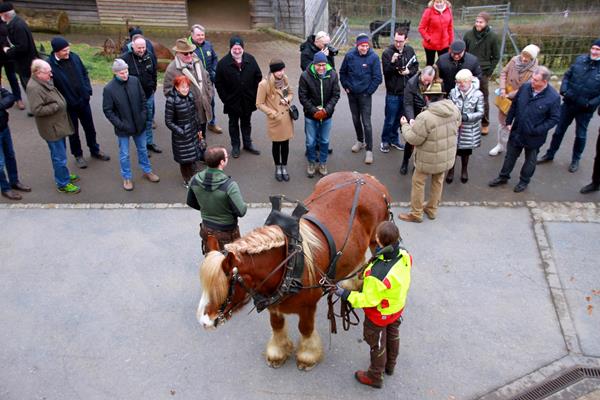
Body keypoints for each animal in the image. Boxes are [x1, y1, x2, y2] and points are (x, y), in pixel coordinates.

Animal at [199, 170, 392, 370]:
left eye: (224, 286)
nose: (204, 322)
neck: (288, 262)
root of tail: (365, 177)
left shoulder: (308, 307)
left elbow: (305, 329)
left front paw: (307, 356)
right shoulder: (273, 305)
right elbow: (276, 325)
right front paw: (278, 352)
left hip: (377, 239)